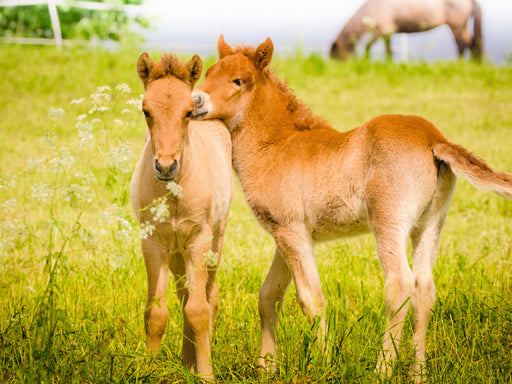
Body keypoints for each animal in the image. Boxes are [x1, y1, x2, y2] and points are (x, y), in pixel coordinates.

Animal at [130, 52, 232, 380]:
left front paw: (206, 375)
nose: (165, 165)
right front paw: (148, 370)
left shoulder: (199, 241)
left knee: (208, 298)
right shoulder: (153, 244)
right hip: (176, 251)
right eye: (146, 110)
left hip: (214, 241)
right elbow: (156, 312)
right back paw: (187, 360)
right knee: (184, 294)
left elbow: (199, 311)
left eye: (188, 112)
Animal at [191, 36, 512, 380]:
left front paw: (323, 365)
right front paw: (266, 367)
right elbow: (269, 296)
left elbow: (310, 298)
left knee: (400, 286)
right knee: (424, 290)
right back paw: (418, 373)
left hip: (388, 222)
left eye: (238, 80)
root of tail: (434, 138)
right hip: (430, 225)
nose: (195, 100)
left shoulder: (290, 231)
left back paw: (382, 370)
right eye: (208, 73)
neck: (276, 145)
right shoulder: (286, 234)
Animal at [330, 0, 482, 60]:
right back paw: (475, 63)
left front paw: (367, 60)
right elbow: (388, 50)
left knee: (462, 44)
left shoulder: (384, 30)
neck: (372, 8)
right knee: (473, 42)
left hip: (455, 25)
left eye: (335, 55)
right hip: (461, 26)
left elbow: (369, 47)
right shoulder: (387, 33)